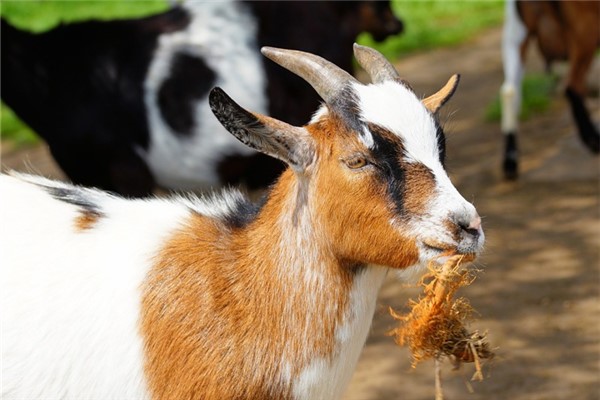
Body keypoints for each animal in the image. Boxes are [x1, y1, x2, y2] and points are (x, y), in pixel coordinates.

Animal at [502, 0, 600, 178]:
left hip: (516, 33)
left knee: (510, 91)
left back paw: (510, 161)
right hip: (586, 29)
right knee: (572, 85)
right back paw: (592, 140)